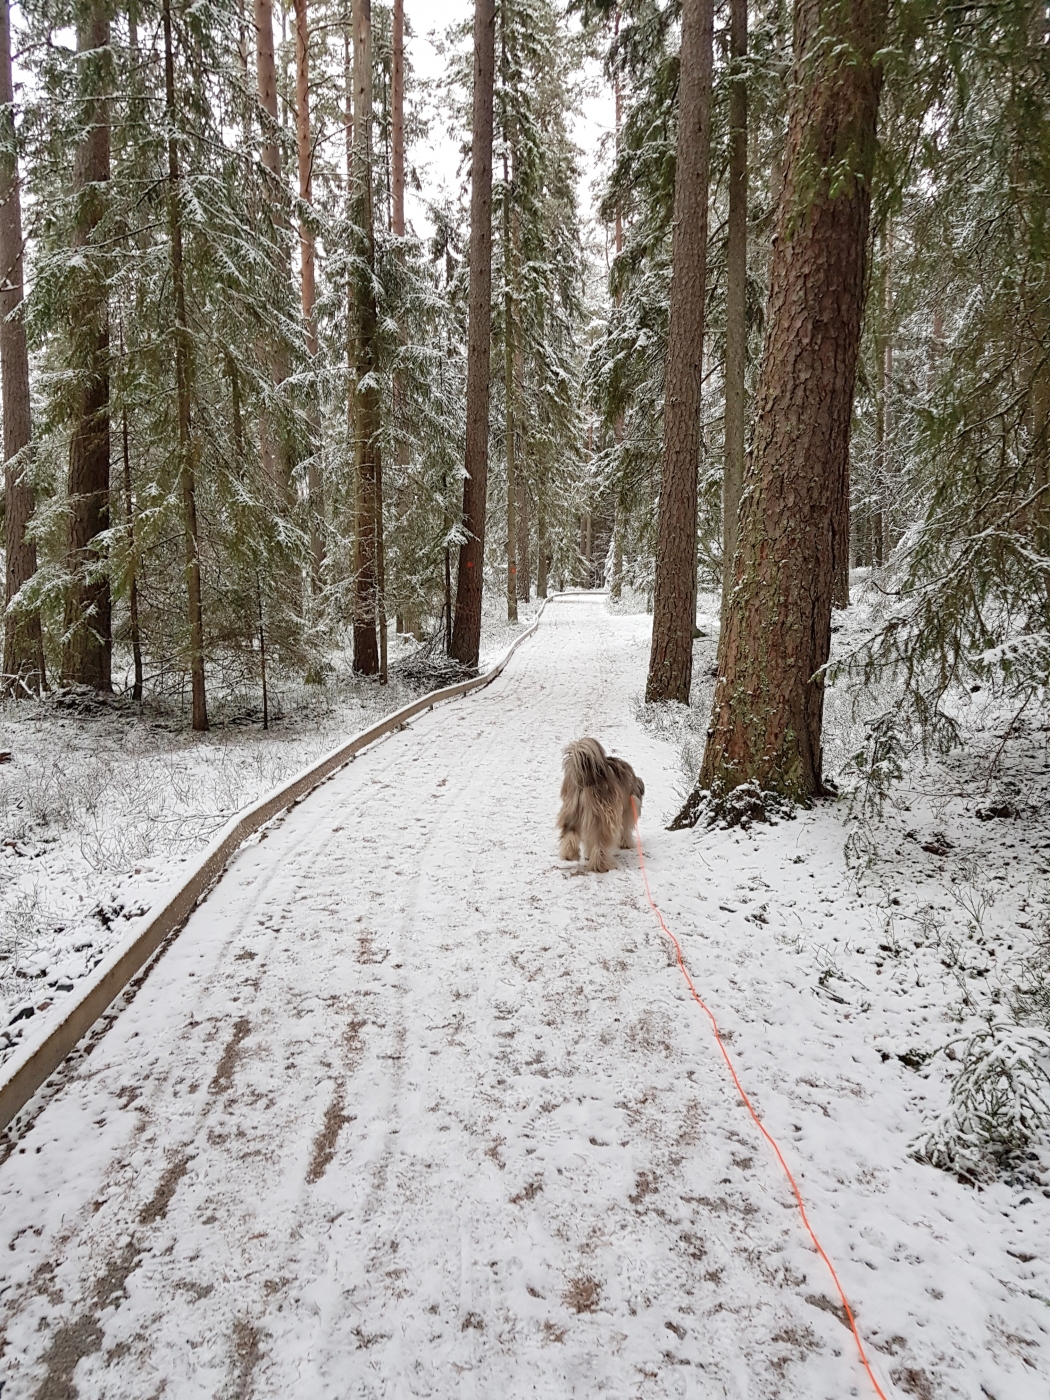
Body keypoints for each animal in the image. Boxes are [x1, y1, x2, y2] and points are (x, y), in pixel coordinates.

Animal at [557, 738, 645, 873]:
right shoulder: (628, 809)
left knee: (569, 830)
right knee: (599, 842)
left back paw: (569, 855)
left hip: (572, 808)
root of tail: (587, 777)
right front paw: (626, 844)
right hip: (602, 815)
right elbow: (625, 829)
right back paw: (600, 865)